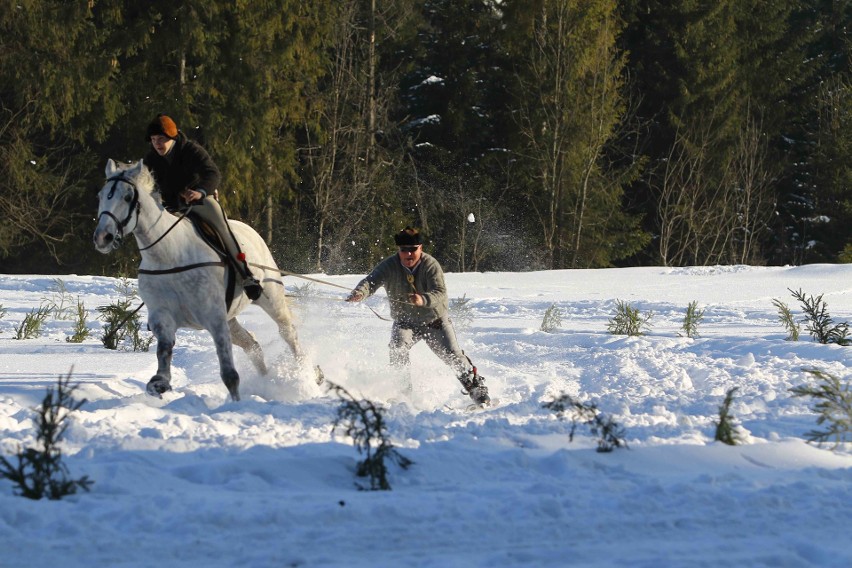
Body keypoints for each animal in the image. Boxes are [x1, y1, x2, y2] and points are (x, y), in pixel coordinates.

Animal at [93, 158, 318, 402]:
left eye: (127, 197)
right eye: (100, 195)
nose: (102, 237)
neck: (169, 254)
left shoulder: (214, 317)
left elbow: (229, 374)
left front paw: (235, 405)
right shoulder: (163, 317)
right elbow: (164, 351)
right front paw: (159, 383)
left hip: (271, 300)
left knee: (288, 333)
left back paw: (305, 376)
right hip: (231, 317)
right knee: (252, 345)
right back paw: (266, 383)